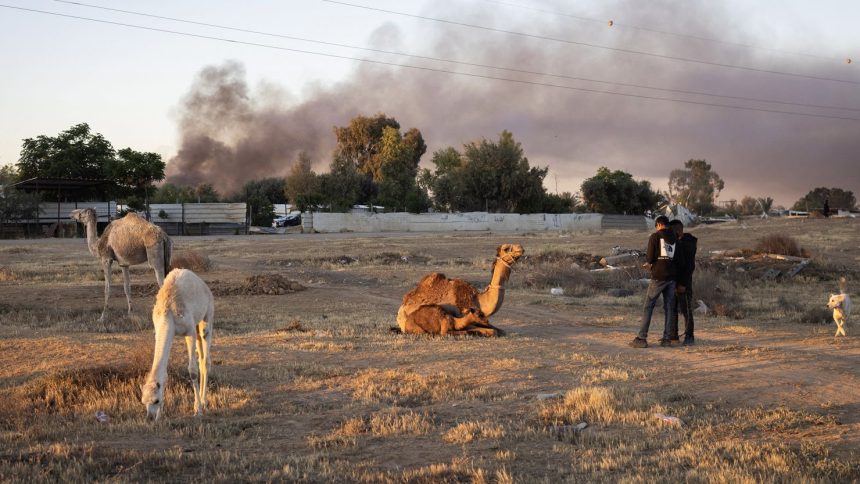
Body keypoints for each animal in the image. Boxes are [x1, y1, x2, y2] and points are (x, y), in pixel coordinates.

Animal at [141, 268, 213, 420]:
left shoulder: (189, 331)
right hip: (197, 325)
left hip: (208, 315)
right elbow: (165, 375)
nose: (149, 417)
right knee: (201, 357)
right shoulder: (162, 332)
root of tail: (203, 284)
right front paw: (160, 415)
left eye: (156, 400)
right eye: (143, 401)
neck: (167, 313)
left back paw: (204, 403)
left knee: (205, 360)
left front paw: (198, 410)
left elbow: (192, 371)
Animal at [396, 242, 524, 336]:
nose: (521, 248)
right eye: (506, 248)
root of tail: (401, 309)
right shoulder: (463, 315)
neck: (477, 300)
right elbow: (491, 331)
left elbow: (501, 330)